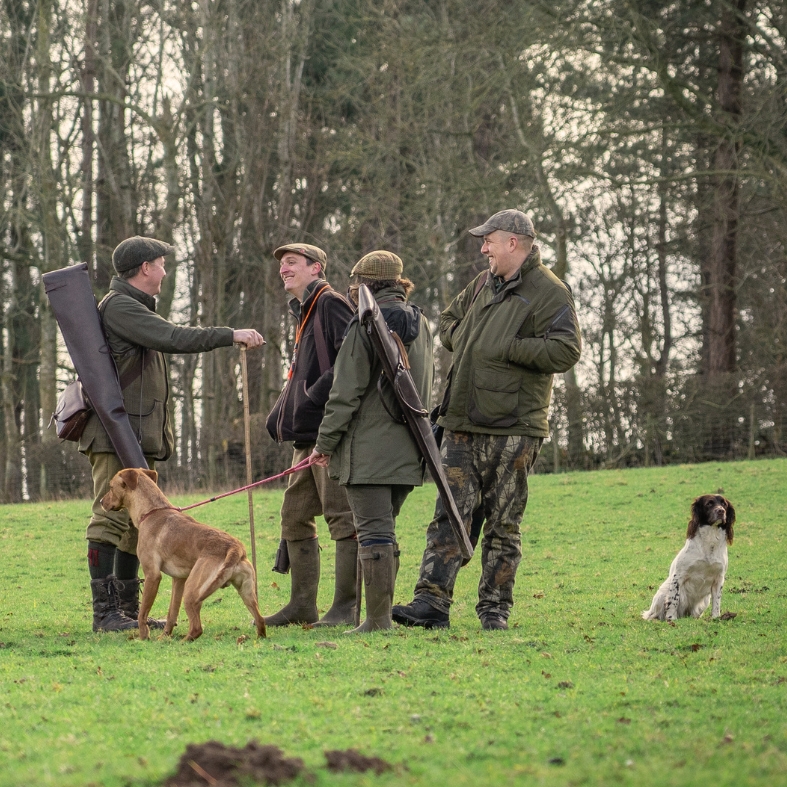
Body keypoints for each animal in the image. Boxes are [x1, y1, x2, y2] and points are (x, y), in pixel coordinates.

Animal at [101, 468, 268, 640]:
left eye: (111, 487)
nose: (100, 501)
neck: (152, 511)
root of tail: (236, 548)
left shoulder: (152, 575)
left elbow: (142, 614)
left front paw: (144, 638)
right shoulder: (178, 580)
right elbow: (172, 613)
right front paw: (163, 638)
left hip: (192, 591)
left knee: (196, 628)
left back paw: (183, 641)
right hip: (246, 593)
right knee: (260, 620)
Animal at [644, 496, 736, 624]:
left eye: (724, 504)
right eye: (709, 504)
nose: (721, 511)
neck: (710, 541)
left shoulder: (719, 578)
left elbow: (717, 602)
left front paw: (716, 618)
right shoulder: (678, 576)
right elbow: (674, 600)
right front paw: (671, 619)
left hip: (704, 601)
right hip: (662, 593)